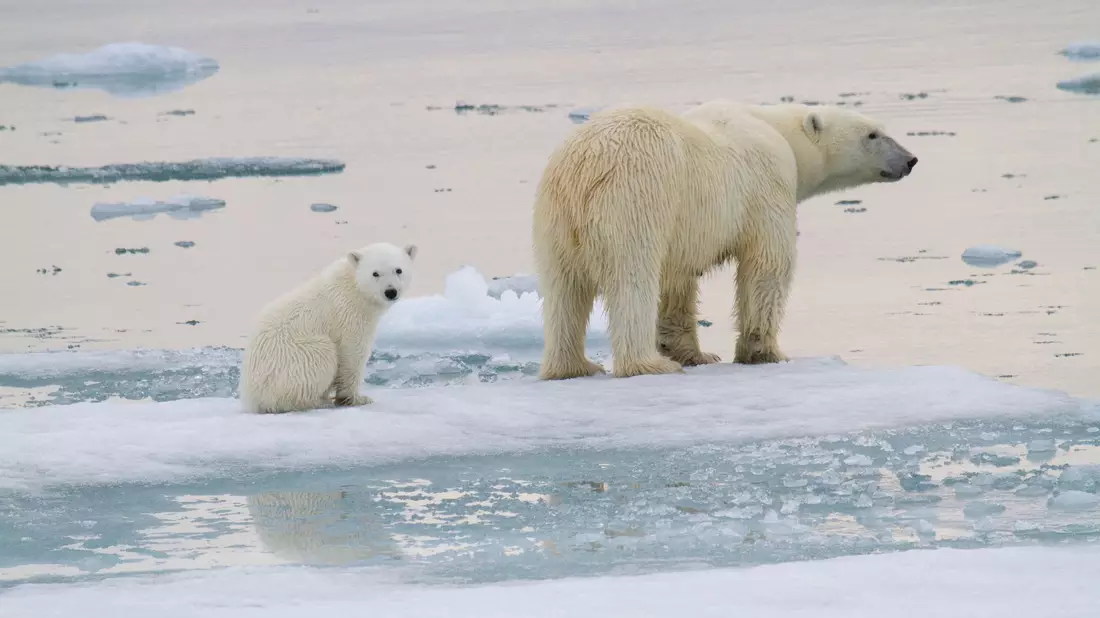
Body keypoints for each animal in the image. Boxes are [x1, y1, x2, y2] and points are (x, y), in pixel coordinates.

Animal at [238, 242, 417, 413]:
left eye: (398, 270)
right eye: (375, 273)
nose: (390, 292)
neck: (355, 287)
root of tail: (252, 399)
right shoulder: (350, 314)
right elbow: (353, 353)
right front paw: (357, 398)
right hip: (294, 359)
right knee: (321, 356)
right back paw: (320, 402)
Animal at [532, 101, 917, 380]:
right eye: (872, 134)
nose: (911, 159)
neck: (780, 133)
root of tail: (583, 169)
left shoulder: (684, 228)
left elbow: (678, 280)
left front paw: (693, 353)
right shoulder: (767, 185)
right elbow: (767, 264)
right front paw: (765, 352)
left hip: (555, 217)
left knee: (562, 289)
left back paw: (572, 367)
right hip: (635, 199)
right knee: (632, 279)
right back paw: (647, 364)